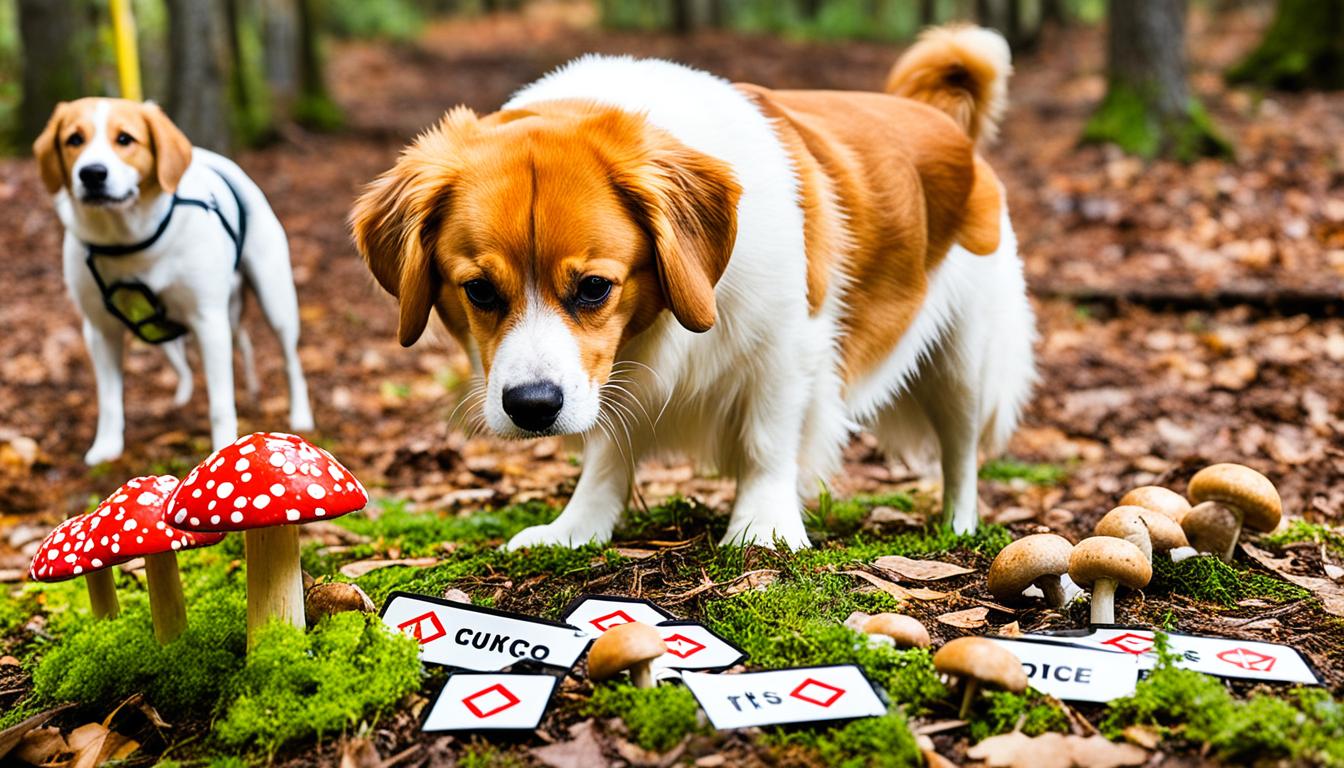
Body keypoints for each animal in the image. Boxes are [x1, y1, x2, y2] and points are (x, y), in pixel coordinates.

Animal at [35, 98, 313, 465]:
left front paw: (223, 447)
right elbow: (109, 400)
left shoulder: (209, 321)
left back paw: (301, 415)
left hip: (276, 300)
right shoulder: (99, 330)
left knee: (291, 362)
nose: (92, 173)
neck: (127, 241)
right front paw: (107, 447)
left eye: (124, 139)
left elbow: (220, 403)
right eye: (74, 140)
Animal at [352, 27, 1032, 548]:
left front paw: (763, 528)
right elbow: (607, 451)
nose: (532, 407)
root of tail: (938, 119)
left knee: (962, 451)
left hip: (964, 364)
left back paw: (959, 527)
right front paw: (579, 526)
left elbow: (767, 441)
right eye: (480, 292)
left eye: (595, 288)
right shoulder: (608, 375)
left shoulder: (788, 347)